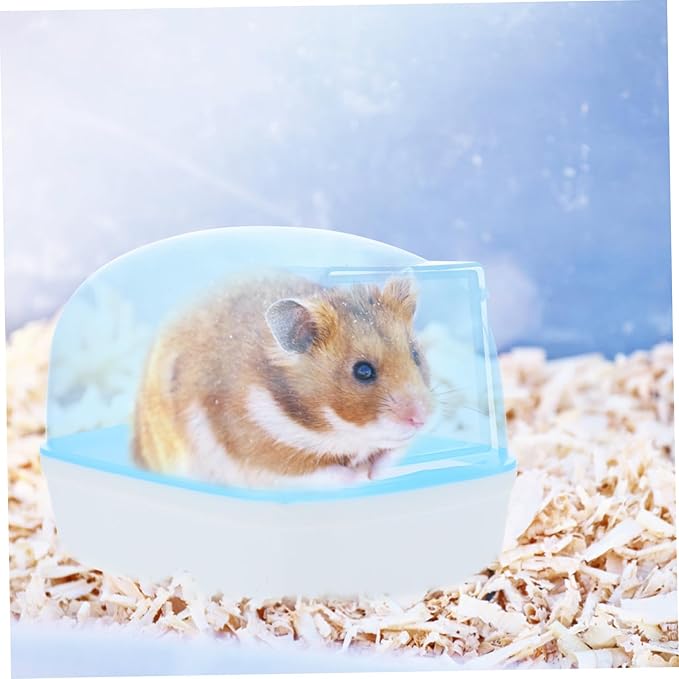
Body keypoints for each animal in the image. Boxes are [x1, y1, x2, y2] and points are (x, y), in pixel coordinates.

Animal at [132, 273, 435, 489]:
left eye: (415, 354)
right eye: (362, 371)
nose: (421, 419)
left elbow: (390, 455)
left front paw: (375, 472)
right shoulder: (268, 458)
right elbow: (332, 474)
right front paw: (361, 475)